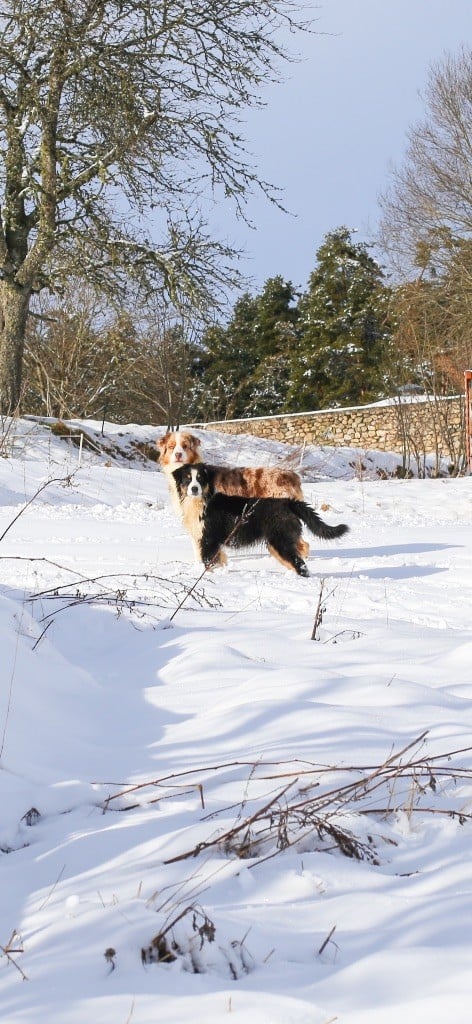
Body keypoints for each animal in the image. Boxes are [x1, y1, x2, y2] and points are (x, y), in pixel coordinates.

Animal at [170, 464, 348, 577]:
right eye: (187, 478)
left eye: (200, 478)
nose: (194, 489)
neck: (202, 502)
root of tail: (288, 502)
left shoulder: (209, 539)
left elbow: (208, 562)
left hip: (280, 541)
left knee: (300, 565)